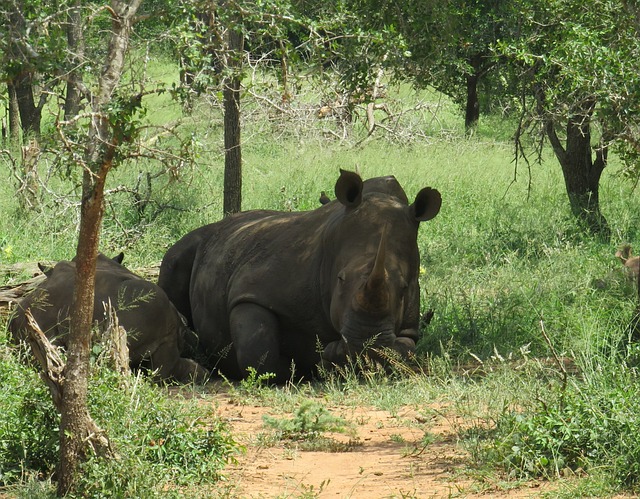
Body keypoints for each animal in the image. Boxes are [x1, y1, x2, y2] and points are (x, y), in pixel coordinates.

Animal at [158, 170, 441, 381]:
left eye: (404, 288)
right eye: (340, 279)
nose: (362, 350)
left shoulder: (409, 327)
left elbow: (405, 350)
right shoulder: (253, 290)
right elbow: (258, 355)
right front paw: (305, 369)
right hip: (203, 241)